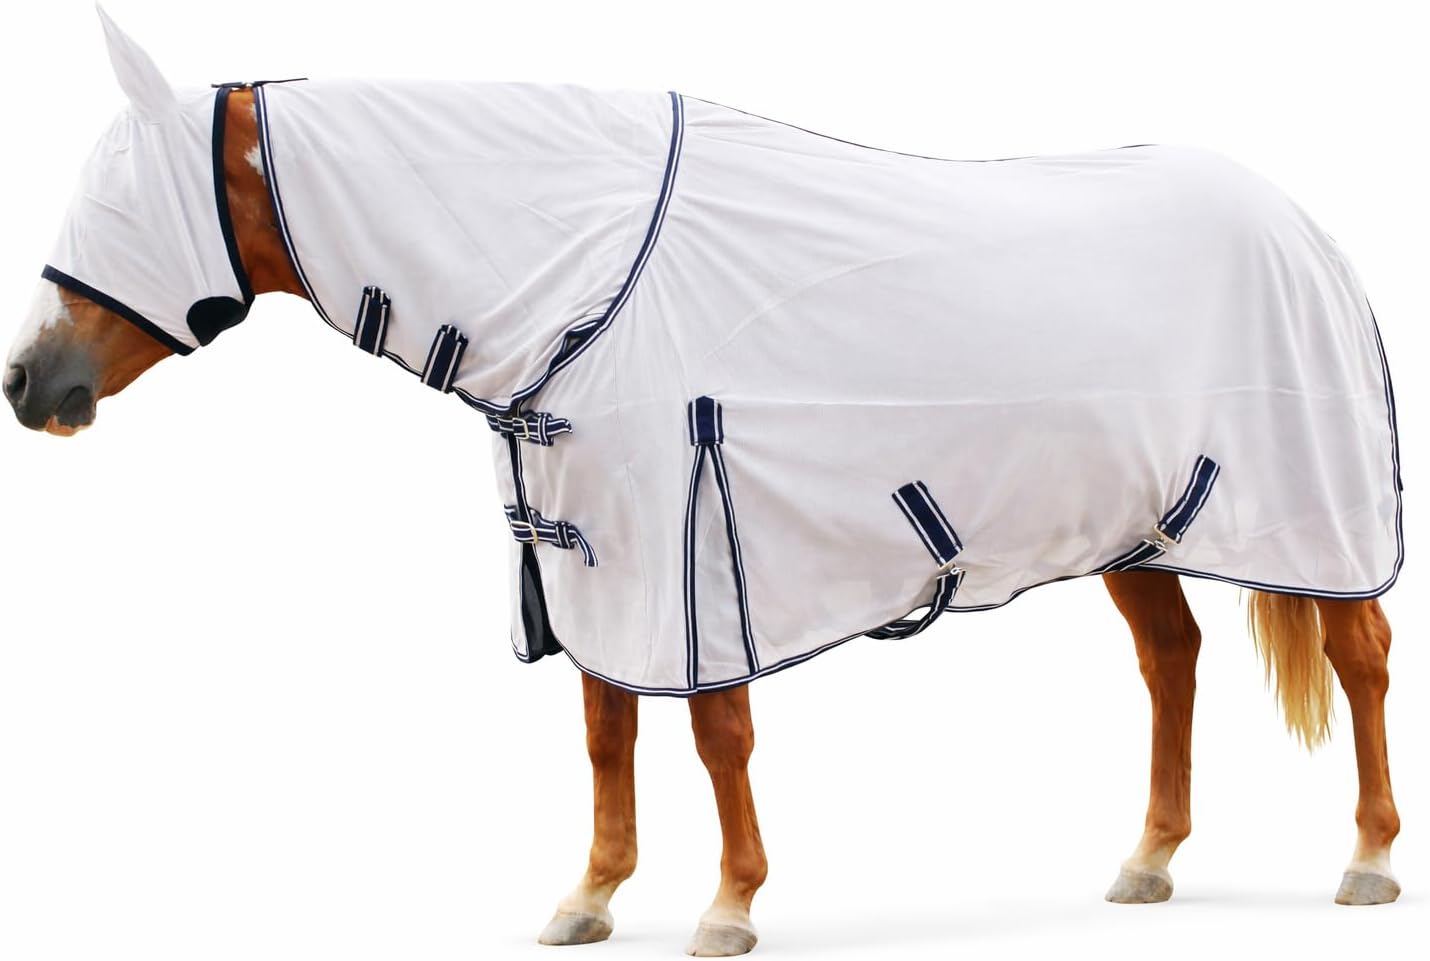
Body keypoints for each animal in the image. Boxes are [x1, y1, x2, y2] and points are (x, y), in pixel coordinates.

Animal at [3, 12, 1403, 957]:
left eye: (120, 208)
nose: (29, 384)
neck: (581, 282)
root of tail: (1302, 227)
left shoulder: (697, 552)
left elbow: (715, 732)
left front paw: (728, 904)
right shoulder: (588, 556)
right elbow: (606, 730)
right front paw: (589, 895)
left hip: (1316, 518)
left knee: (1359, 656)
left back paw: (1367, 859)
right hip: (1134, 526)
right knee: (1170, 658)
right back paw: (1148, 862)